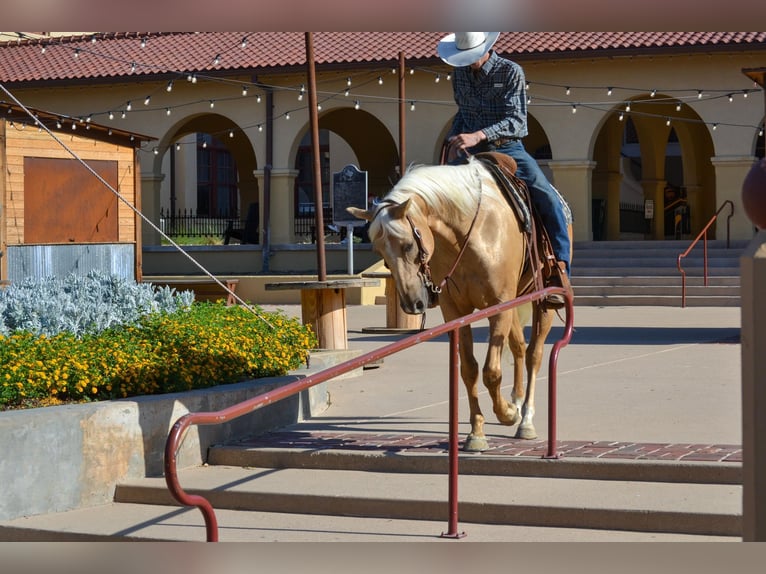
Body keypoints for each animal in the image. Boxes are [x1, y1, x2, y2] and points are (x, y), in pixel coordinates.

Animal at [352, 158, 568, 454]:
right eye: (380, 253)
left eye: (408, 245)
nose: (412, 304)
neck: (470, 234)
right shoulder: (456, 311)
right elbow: (469, 369)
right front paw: (477, 433)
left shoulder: (499, 305)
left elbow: (491, 371)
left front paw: (507, 414)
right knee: (518, 347)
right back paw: (515, 399)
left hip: (541, 301)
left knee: (534, 354)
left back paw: (525, 419)